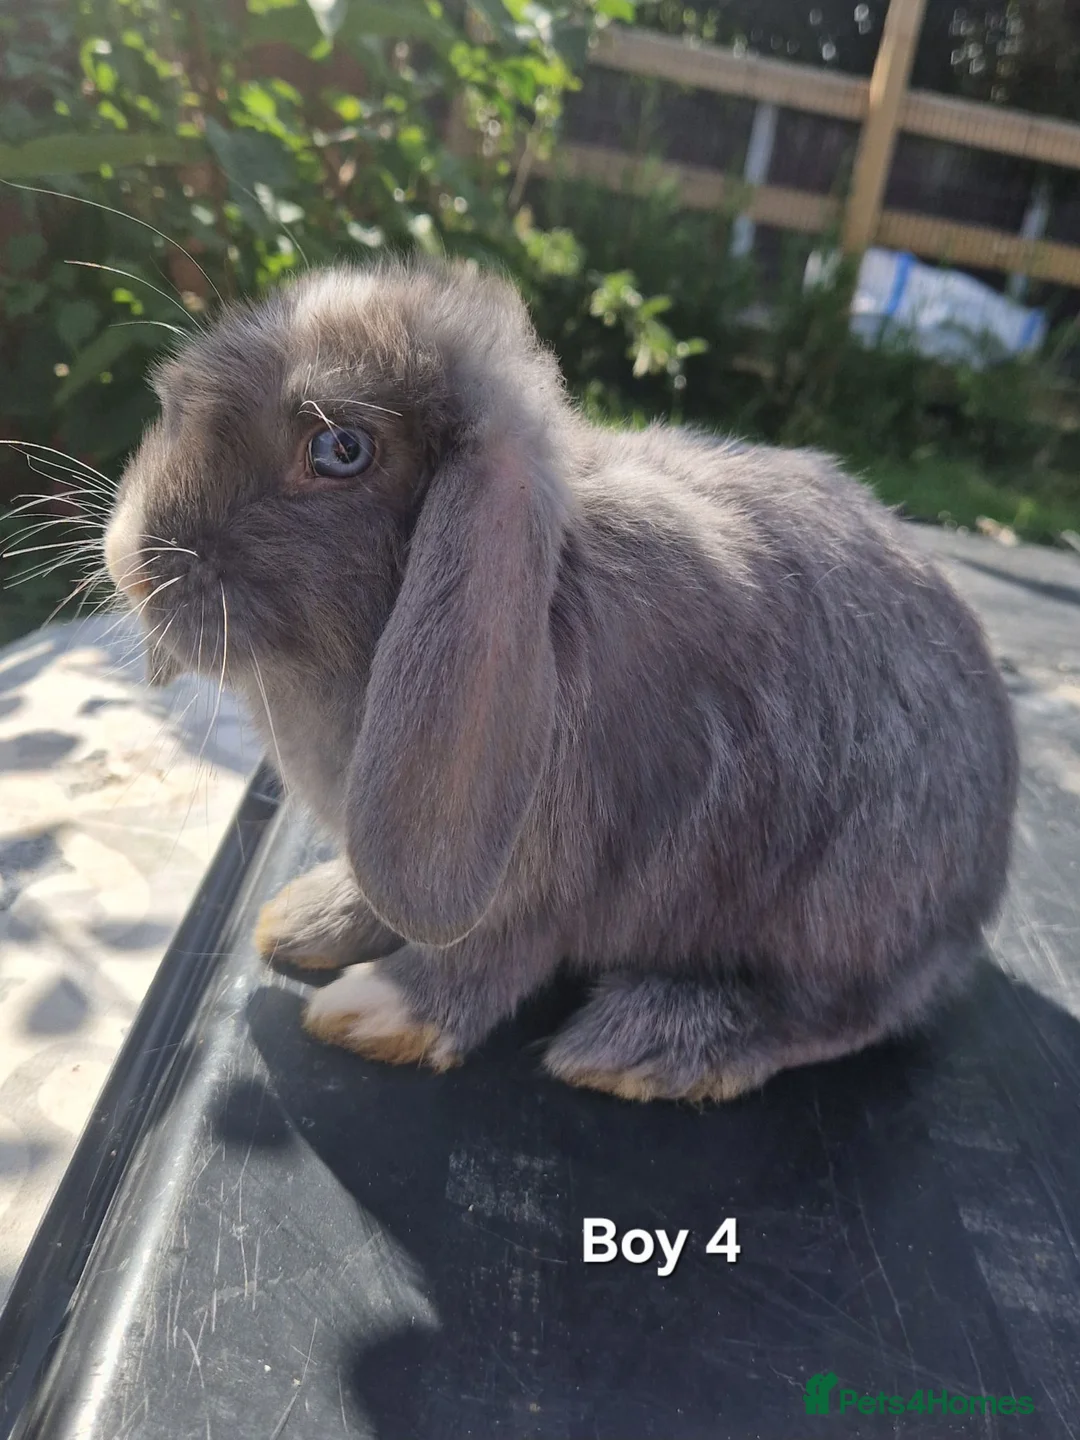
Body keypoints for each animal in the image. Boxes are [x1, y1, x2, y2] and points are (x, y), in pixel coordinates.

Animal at [104, 256, 1018, 1102]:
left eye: (341, 450)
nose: (133, 562)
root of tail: (975, 896)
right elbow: (376, 897)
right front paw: (308, 920)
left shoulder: (541, 880)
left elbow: (484, 959)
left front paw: (373, 1013)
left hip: (846, 894)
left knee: (840, 1011)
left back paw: (644, 1047)